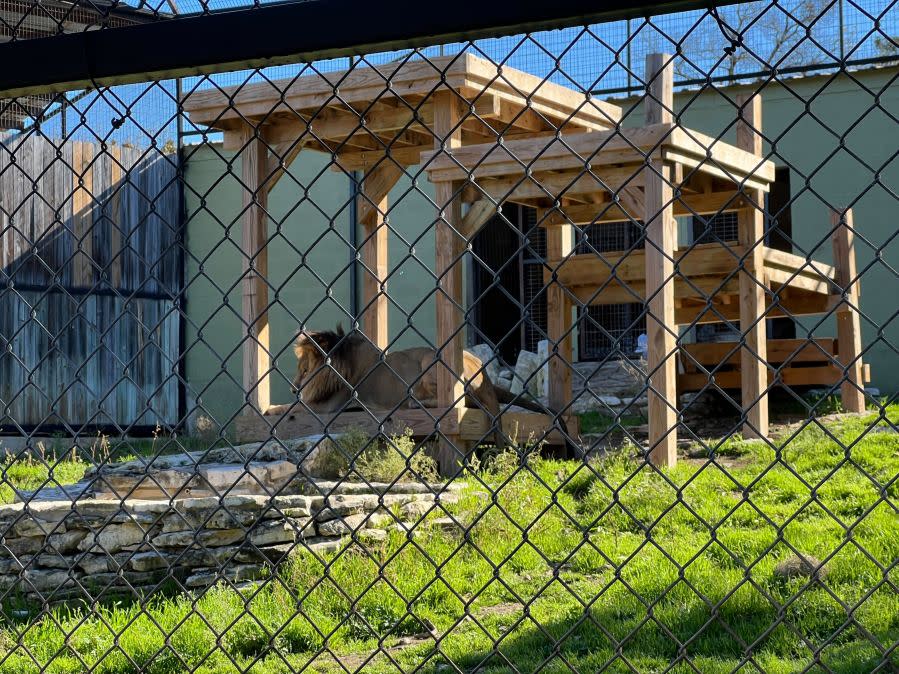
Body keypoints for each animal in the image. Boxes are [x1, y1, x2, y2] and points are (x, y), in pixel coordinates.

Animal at [266, 322, 568, 452]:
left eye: (304, 370)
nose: (294, 387)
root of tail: (485, 374)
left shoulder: (329, 406)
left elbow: (293, 407)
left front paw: (271, 409)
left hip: (429, 361)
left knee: (454, 402)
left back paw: (413, 402)